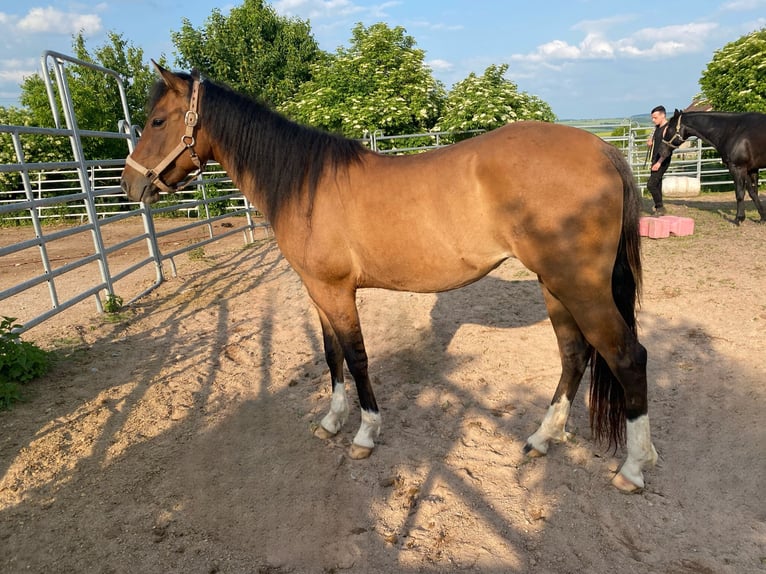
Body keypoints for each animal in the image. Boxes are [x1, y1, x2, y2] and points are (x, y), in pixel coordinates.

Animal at [120, 63, 657, 492]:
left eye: (159, 120)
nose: (129, 184)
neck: (306, 186)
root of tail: (603, 151)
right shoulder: (319, 292)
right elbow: (332, 355)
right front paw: (331, 422)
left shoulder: (337, 291)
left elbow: (357, 357)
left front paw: (364, 433)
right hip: (556, 286)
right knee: (575, 354)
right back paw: (544, 438)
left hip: (579, 286)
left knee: (627, 356)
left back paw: (633, 468)